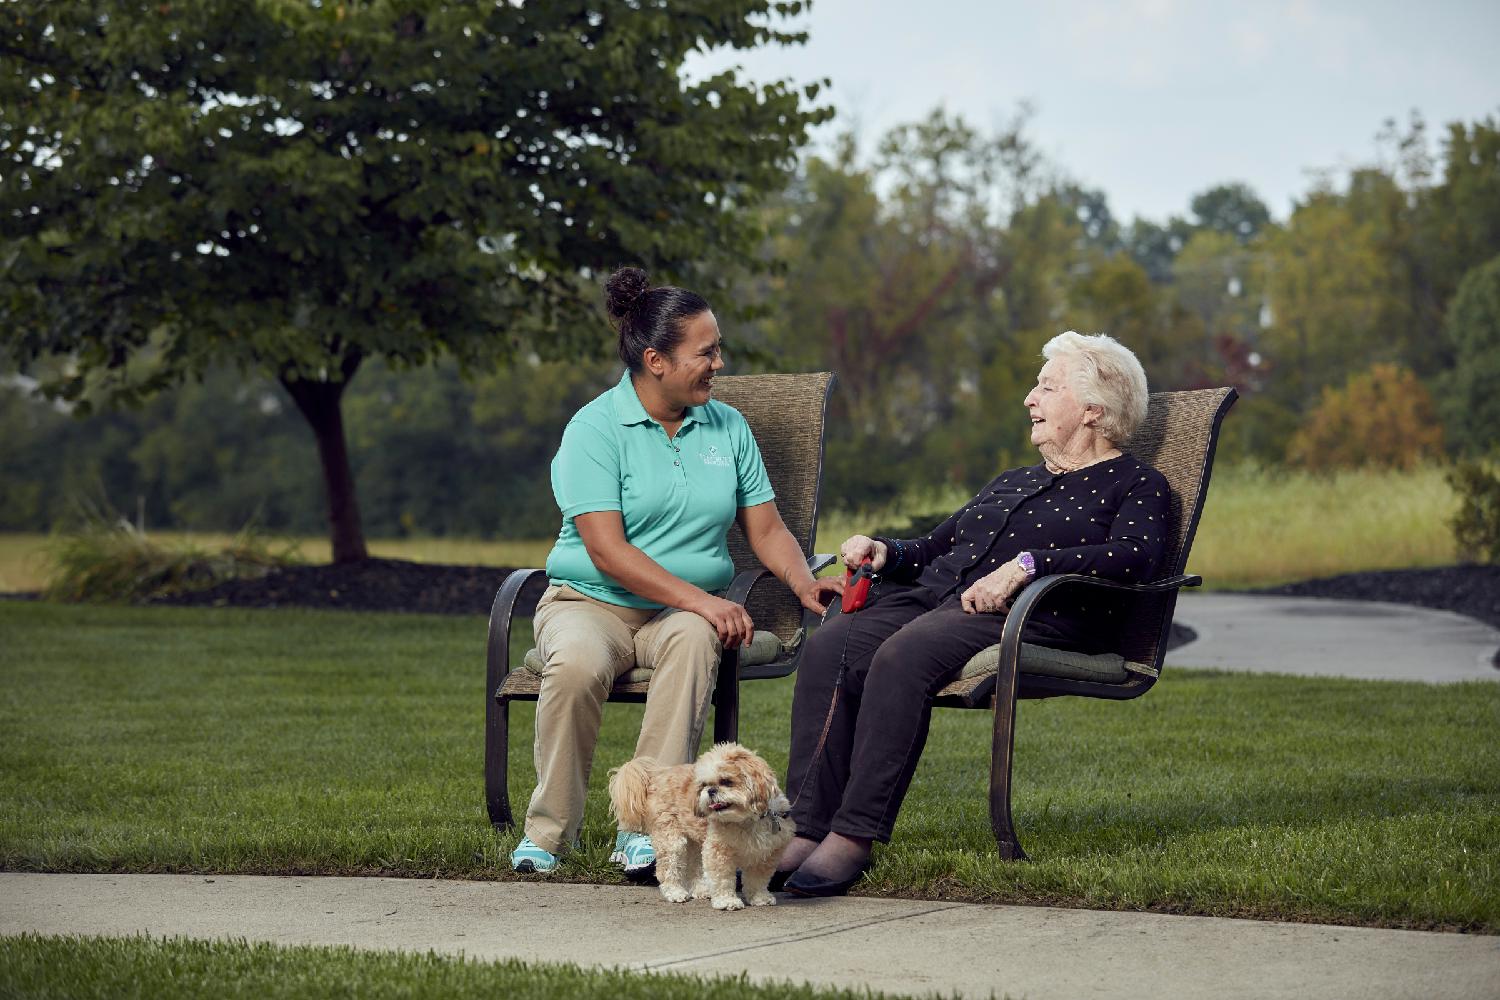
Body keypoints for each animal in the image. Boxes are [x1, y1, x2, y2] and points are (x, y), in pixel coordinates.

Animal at [609, 740, 798, 911]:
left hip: (695, 842)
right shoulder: (719, 851)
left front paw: (759, 898)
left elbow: (757, 880)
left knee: (694, 867)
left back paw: (701, 890)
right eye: (704, 785)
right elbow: (722, 879)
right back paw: (675, 892)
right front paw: (727, 901)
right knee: (668, 868)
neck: (746, 821)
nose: (711, 791)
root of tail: (658, 775)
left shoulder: (767, 854)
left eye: (726, 781)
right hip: (671, 839)